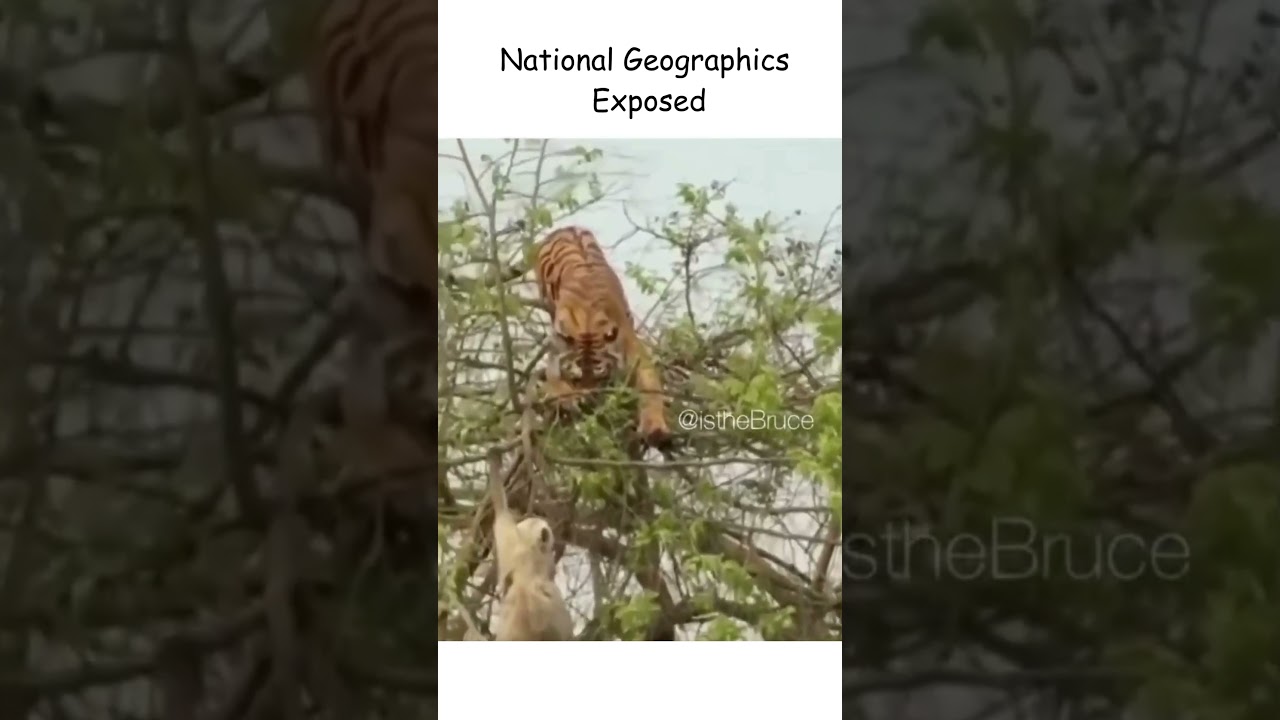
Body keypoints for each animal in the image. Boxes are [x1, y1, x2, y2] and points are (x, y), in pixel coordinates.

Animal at [534, 226, 671, 447]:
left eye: (601, 377)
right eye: (577, 379)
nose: (590, 401)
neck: (588, 324)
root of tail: (565, 228)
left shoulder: (633, 349)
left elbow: (649, 386)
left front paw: (655, 426)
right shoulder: (557, 350)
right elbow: (553, 378)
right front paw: (567, 396)